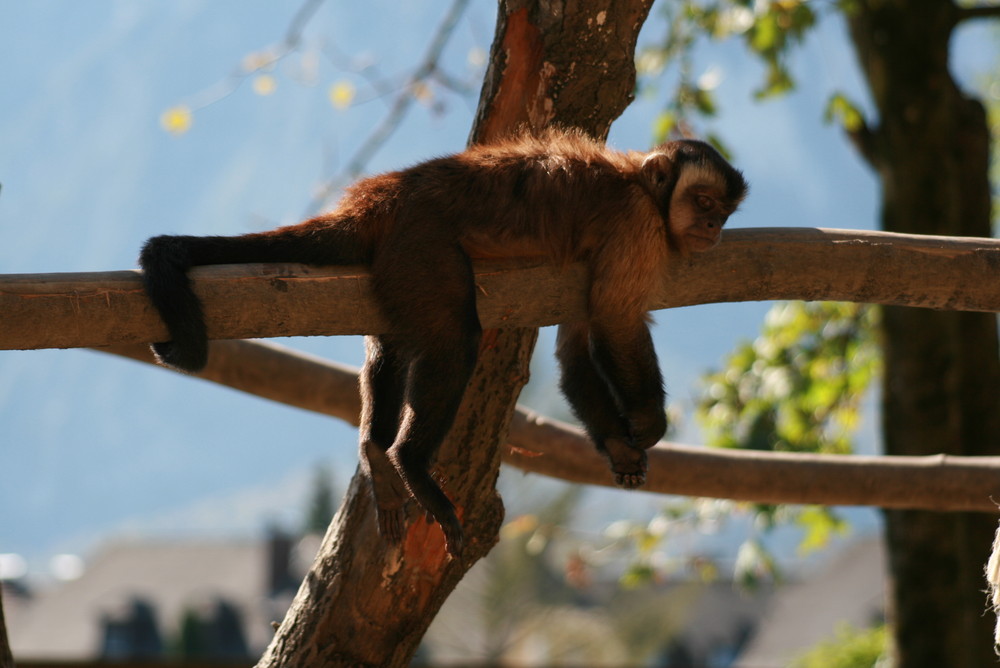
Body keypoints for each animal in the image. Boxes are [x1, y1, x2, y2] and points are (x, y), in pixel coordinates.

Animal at [143, 128, 752, 556]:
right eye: (703, 203)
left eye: (722, 212)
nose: (713, 228)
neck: (641, 189)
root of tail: (380, 196)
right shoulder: (636, 228)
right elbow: (615, 322)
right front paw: (647, 422)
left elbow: (577, 346)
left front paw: (618, 448)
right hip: (420, 242)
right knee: (458, 339)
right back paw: (409, 463)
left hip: (397, 261)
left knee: (395, 343)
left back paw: (376, 449)